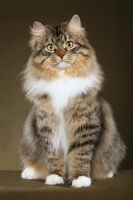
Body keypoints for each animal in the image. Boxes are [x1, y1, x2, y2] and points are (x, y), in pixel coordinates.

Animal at [19, 14, 125, 188]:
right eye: (50, 47)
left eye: (69, 44)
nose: (61, 54)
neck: (63, 80)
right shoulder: (48, 126)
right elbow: (54, 156)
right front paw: (56, 177)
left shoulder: (85, 125)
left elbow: (80, 155)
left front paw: (80, 179)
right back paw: (29, 172)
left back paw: (107, 172)